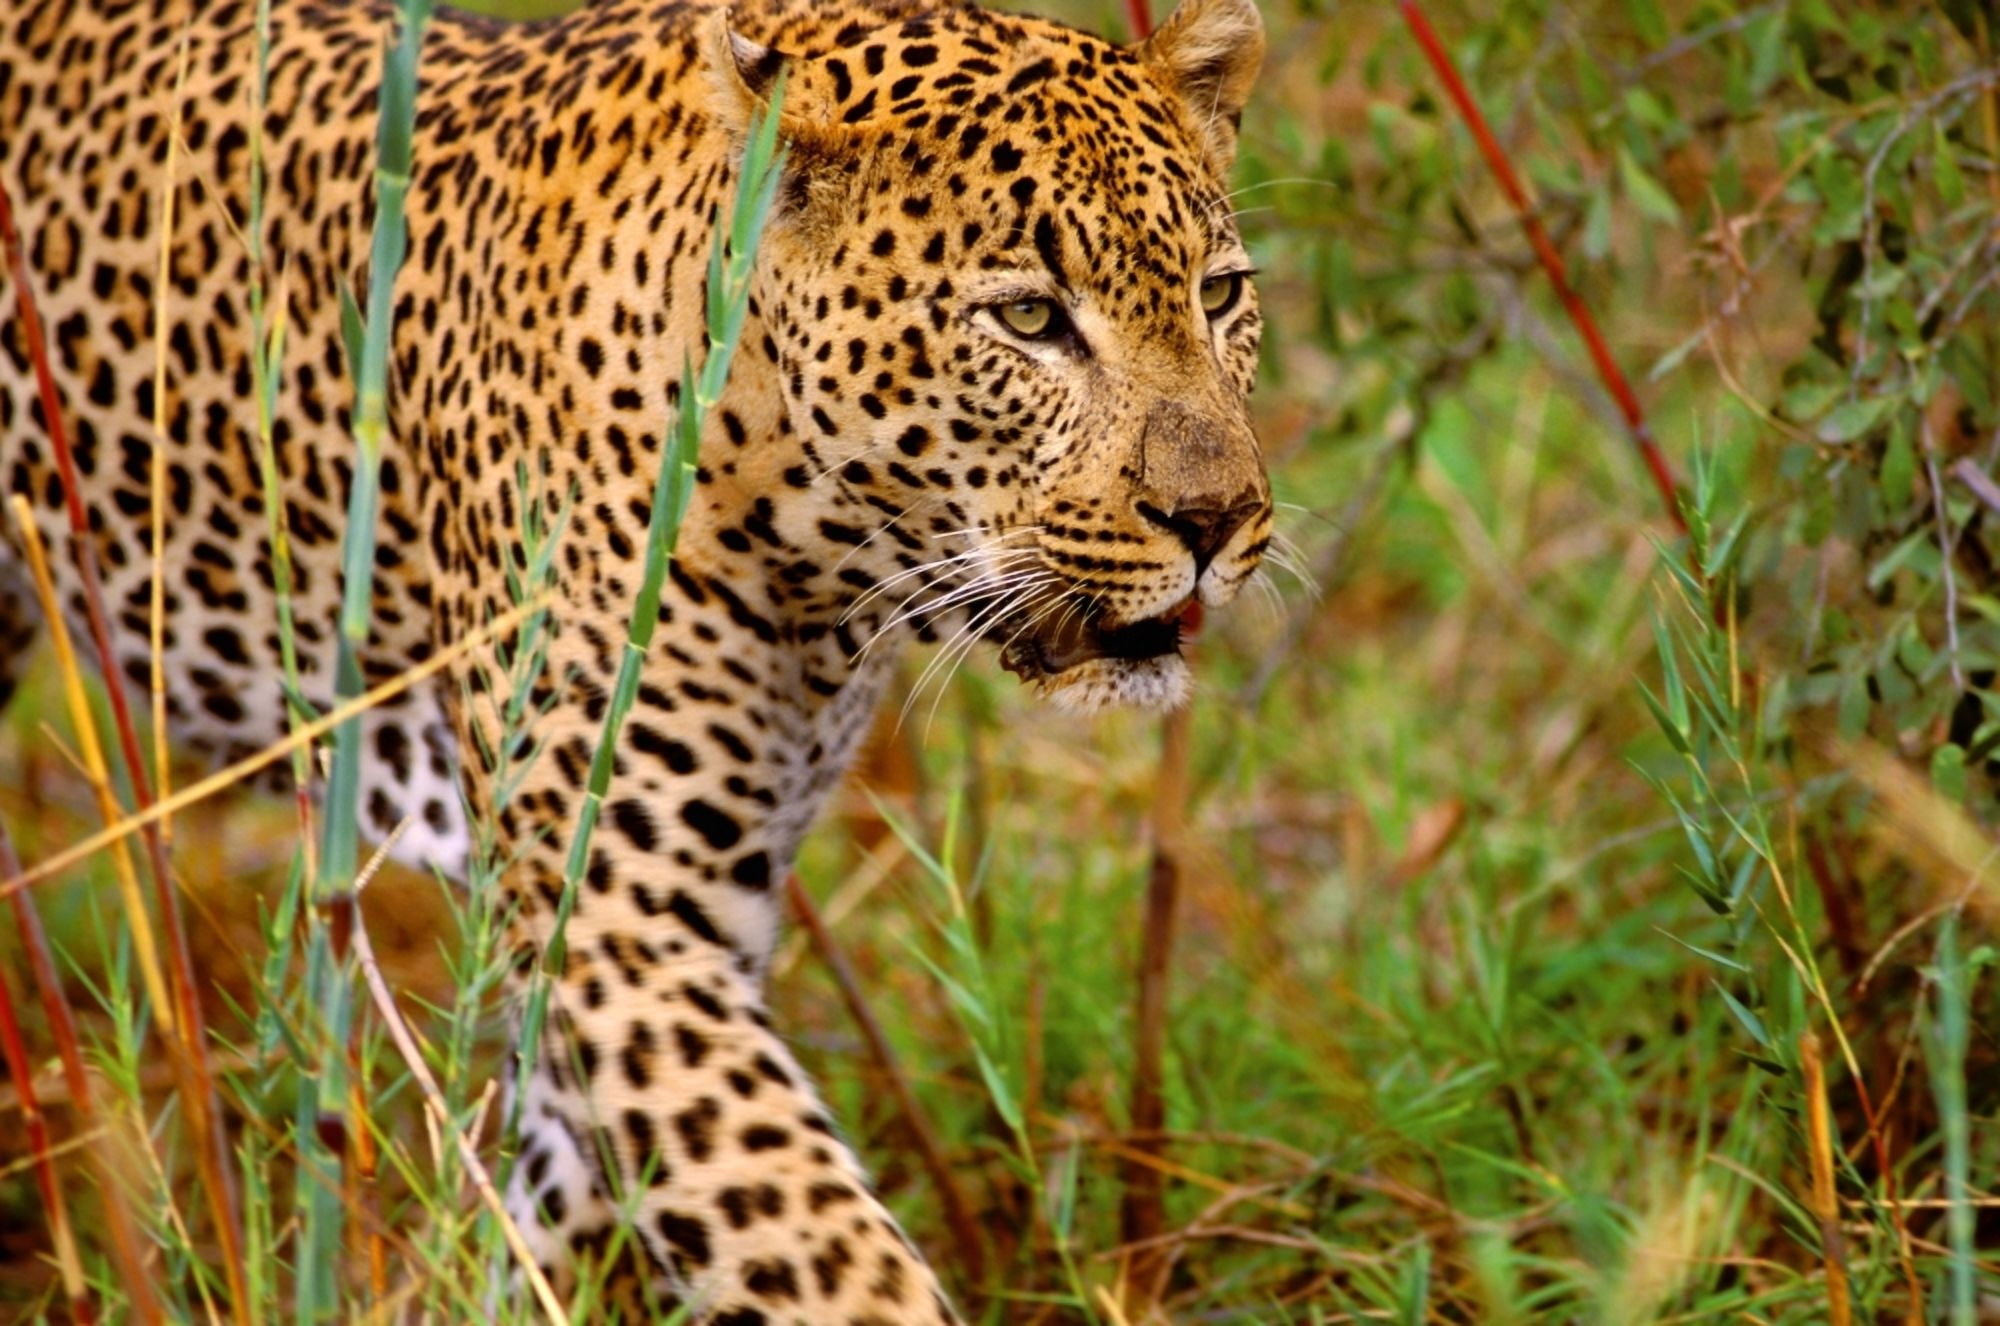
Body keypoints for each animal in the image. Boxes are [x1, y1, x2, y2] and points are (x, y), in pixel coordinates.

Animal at [0, 0, 1270, 1318]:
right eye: (1027, 319)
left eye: (1220, 293)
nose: (1218, 519)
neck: (819, 560)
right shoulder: (621, 927)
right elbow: (835, 1259)